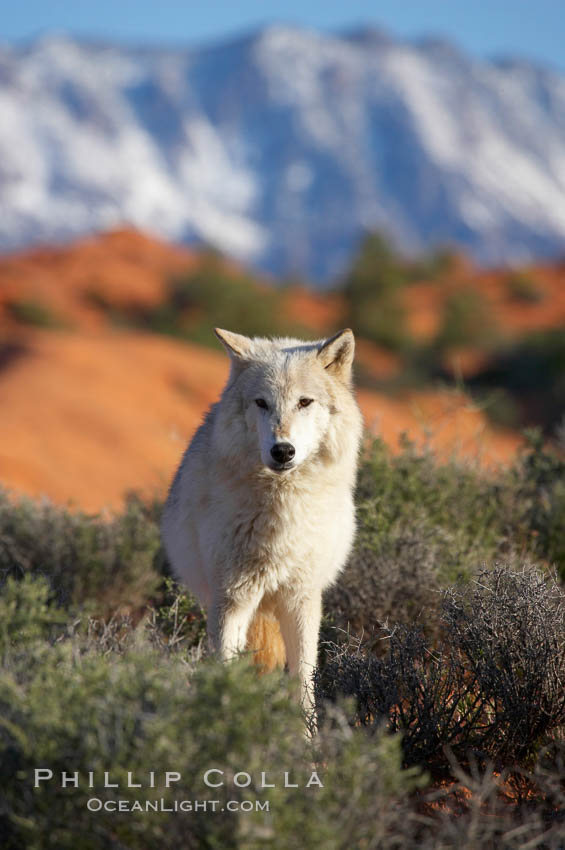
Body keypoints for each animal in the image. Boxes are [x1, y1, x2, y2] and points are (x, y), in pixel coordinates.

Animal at [161, 327, 363, 710]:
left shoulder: (302, 598)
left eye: (304, 402)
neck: (281, 515)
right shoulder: (231, 598)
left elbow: (304, 683)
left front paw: (305, 729)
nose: (282, 451)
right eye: (261, 403)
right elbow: (226, 672)